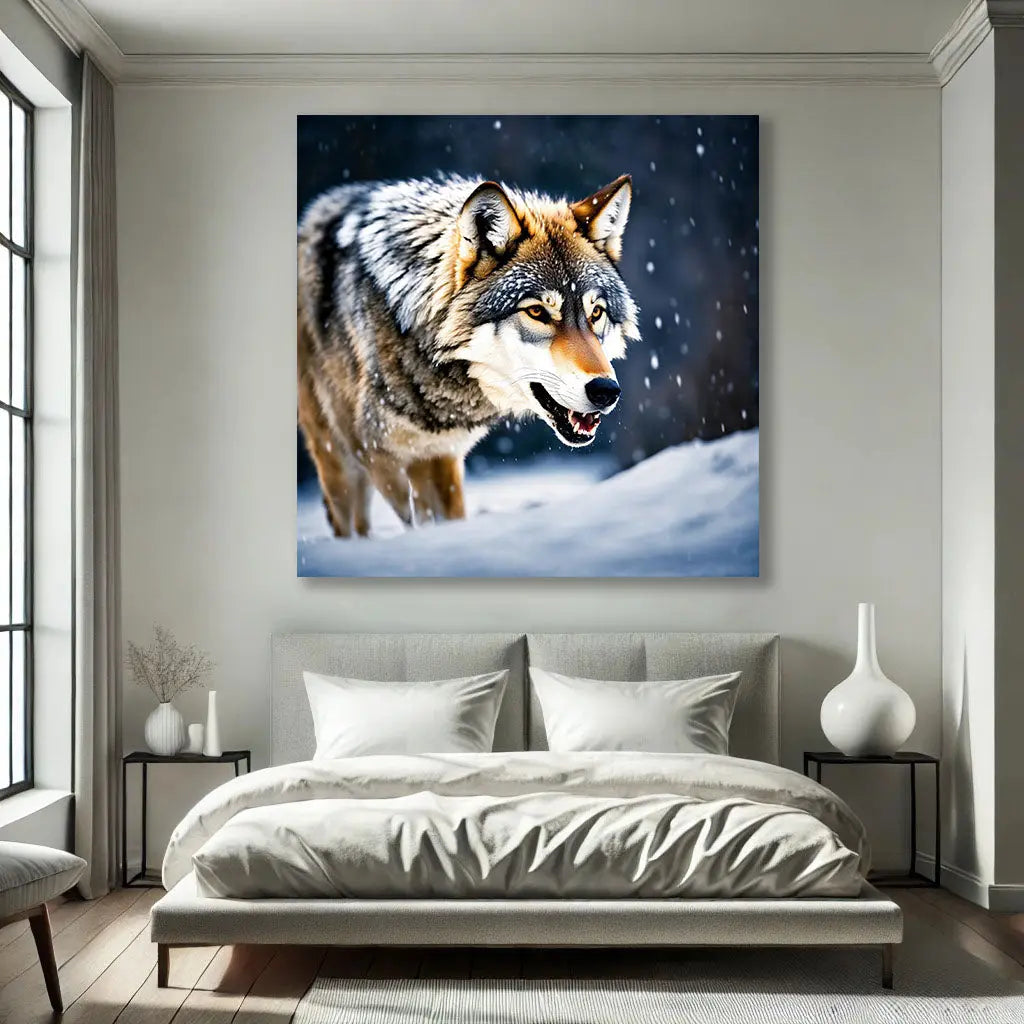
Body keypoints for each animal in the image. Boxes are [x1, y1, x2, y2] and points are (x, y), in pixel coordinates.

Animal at [297, 172, 640, 537]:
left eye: (596, 313)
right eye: (536, 312)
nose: (606, 391)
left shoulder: (443, 455)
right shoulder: (379, 456)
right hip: (340, 462)